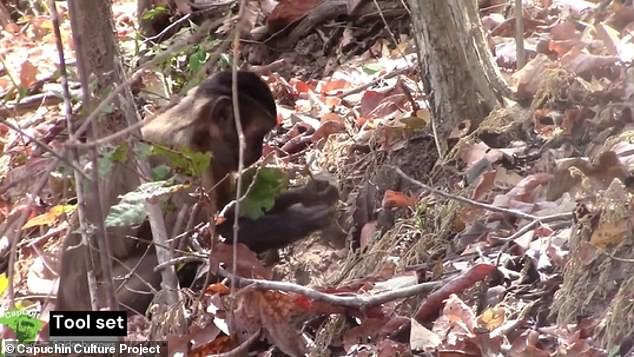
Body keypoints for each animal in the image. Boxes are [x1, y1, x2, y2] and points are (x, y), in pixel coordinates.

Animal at [56, 71, 338, 312]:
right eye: (258, 134)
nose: (258, 152)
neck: (196, 130)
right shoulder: (180, 161)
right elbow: (194, 242)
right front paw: (301, 220)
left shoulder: (217, 159)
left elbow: (228, 210)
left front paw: (311, 192)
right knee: (158, 262)